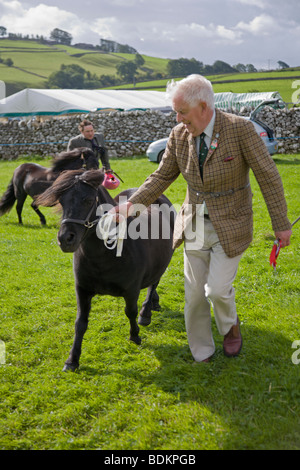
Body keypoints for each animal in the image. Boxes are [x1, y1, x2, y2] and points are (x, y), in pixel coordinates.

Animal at [36, 169, 176, 370]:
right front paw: (72, 360)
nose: (65, 239)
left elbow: (130, 312)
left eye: (88, 200)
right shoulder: (82, 290)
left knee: (153, 284)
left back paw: (146, 313)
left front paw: (135, 335)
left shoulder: (131, 290)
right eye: (62, 201)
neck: (103, 256)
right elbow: (80, 323)